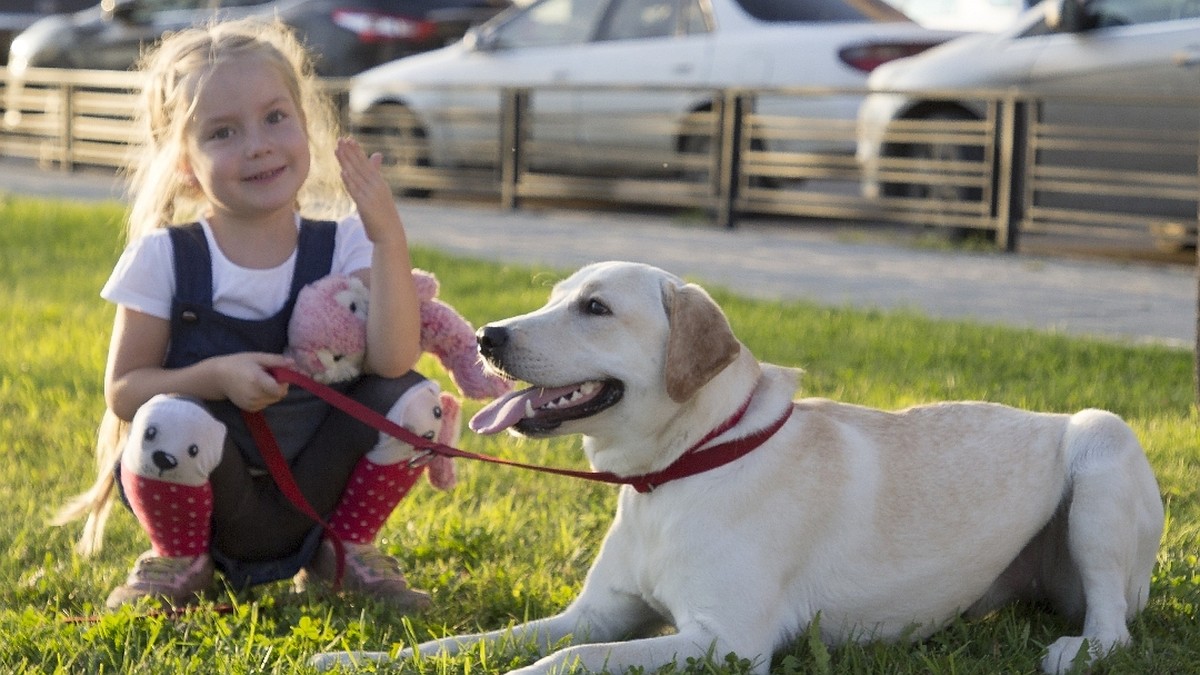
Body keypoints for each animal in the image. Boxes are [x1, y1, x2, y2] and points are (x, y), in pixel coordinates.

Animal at [314, 260, 1166, 667]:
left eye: (595, 308)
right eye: (556, 296)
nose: (489, 335)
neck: (677, 470)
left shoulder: (722, 642)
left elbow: (565, 660)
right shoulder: (596, 611)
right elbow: (455, 643)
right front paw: (358, 653)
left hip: (1102, 448)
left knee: (1114, 629)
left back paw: (1077, 647)